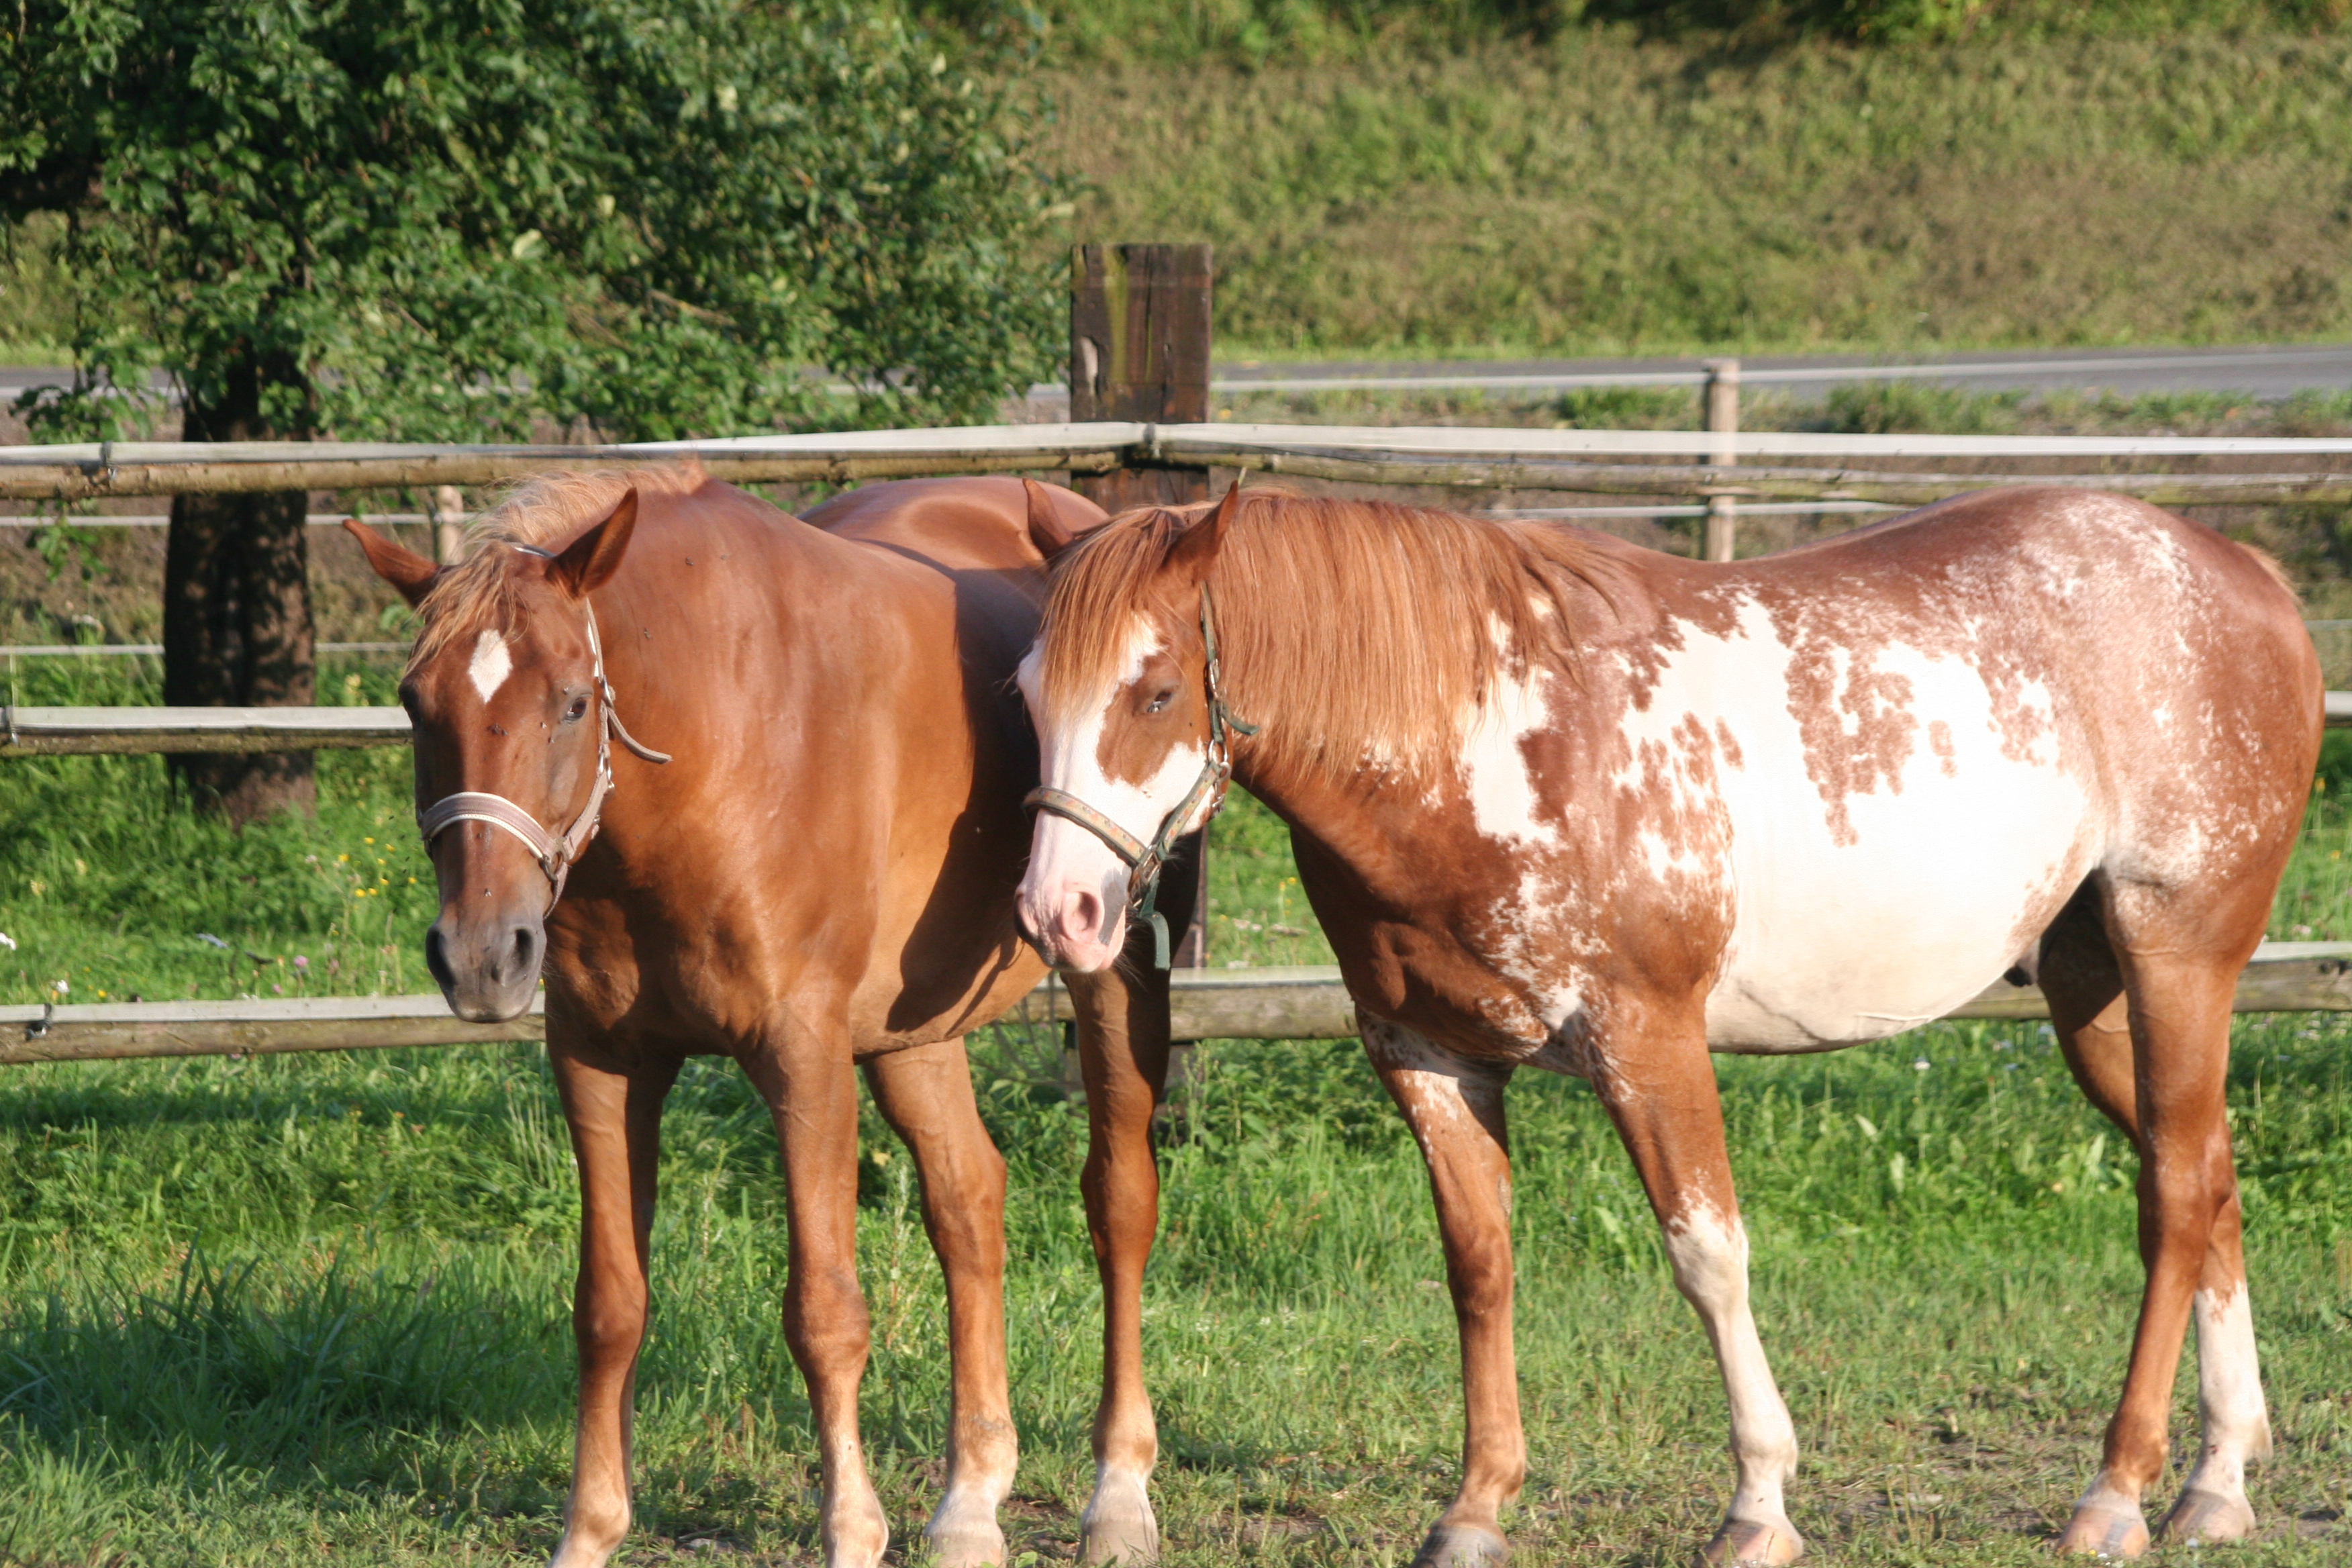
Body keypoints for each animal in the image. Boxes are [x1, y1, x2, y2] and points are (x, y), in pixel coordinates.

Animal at [348, 472, 1185, 1568]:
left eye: (572, 702)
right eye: (417, 704)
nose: (483, 955)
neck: (712, 745)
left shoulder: (802, 1058)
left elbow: (825, 1310)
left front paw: (851, 1528)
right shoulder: (599, 1061)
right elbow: (610, 1303)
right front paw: (591, 1529)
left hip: (1111, 962)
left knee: (1119, 1201)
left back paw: (1118, 1494)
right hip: (914, 1033)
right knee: (969, 1200)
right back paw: (970, 1501)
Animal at [1020, 484, 2323, 1561]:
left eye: (1153, 691)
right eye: (1026, 692)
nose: (1058, 911)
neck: (1491, 739)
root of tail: (2245, 575)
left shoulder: (1647, 1044)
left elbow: (1708, 1258)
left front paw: (1757, 1504)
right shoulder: (1428, 1056)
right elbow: (1478, 1264)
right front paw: (1475, 1507)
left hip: (2177, 963)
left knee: (2171, 1198)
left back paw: (2116, 1492)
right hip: (2092, 997)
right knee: (2207, 1175)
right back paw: (2215, 1481)